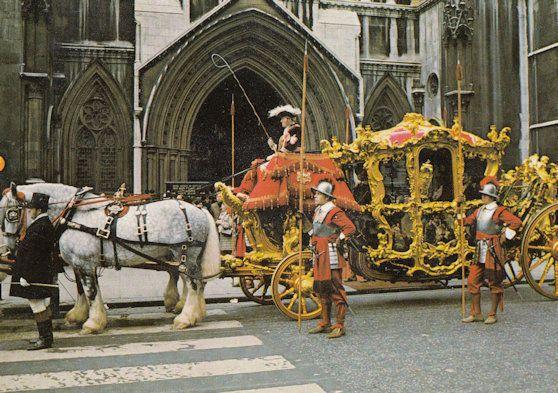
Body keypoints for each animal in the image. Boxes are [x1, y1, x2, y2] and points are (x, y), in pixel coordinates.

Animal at [0, 182, 223, 332]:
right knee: (197, 283)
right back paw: (196, 313)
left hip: (184, 254)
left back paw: (185, 318)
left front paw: (92, 323)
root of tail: (199, 209)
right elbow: (83, 290)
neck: (74, 214)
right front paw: (78, 315)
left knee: (193, 284)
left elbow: (91, 292)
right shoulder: (80, 264)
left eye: (11, 213)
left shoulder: (85, 264)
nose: (9, 249)